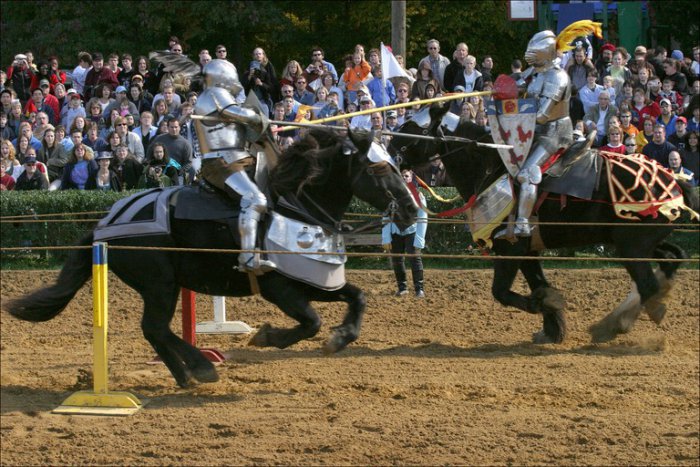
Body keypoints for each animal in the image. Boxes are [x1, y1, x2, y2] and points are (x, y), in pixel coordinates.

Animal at [5, 128, 416, 388]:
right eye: (380, 168)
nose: (412, 209)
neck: (297, 206)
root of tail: (105, 223)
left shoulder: (317, 281)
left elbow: (357, 298)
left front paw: (341, 337)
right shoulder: (281, 290)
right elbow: (311, 322)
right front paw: (267, 337)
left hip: (164, 286)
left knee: (157, 330)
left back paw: (188, 373)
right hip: (160, 284)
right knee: (154, 328)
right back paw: (199, 368)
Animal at [392, 106, 696, 346]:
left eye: (411, 129)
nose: (391, 157)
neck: (490, 167)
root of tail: (674, 181)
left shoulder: (510, 249)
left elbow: (502, 292)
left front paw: (549, 303)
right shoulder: (528, 253)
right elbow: (537, 283)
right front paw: (553, 328)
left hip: (631, 247)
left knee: (648, 284)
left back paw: (617, 325)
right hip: (640, 242)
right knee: (672, 258)